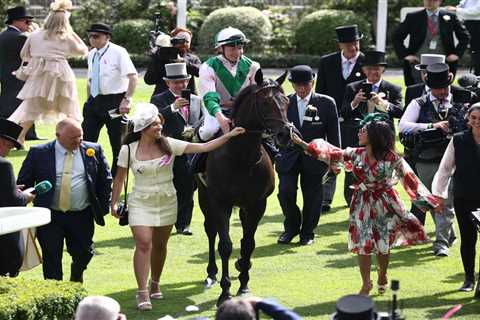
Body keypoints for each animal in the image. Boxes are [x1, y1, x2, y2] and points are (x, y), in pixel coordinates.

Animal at [196, 69, 294, 304]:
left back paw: (242, 263)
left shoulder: (257, 203)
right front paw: (225, 292)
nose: (285, 134)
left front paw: (244, 285)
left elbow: (248, 243)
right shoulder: (220, 202)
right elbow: (225, 245)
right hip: (204, 196)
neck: (242, 158)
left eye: (286, 101)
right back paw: (211, 273)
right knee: (210, 230)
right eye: (266, 103)